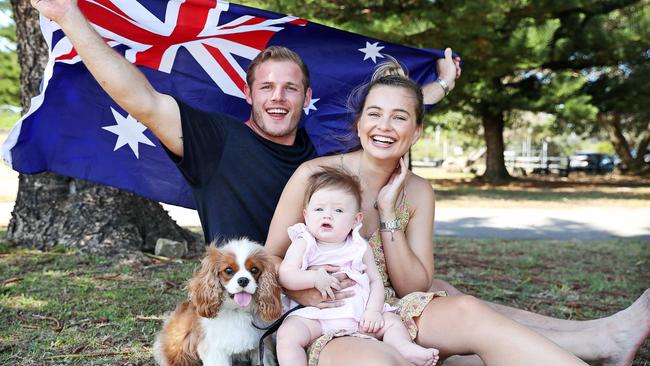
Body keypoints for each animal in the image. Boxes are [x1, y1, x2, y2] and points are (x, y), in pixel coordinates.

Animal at [154, 239, 284, 366]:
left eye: (254, 270)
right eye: (228, 270)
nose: (243, 280)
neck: (237, 310)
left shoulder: (261, 346)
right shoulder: (215, 350)